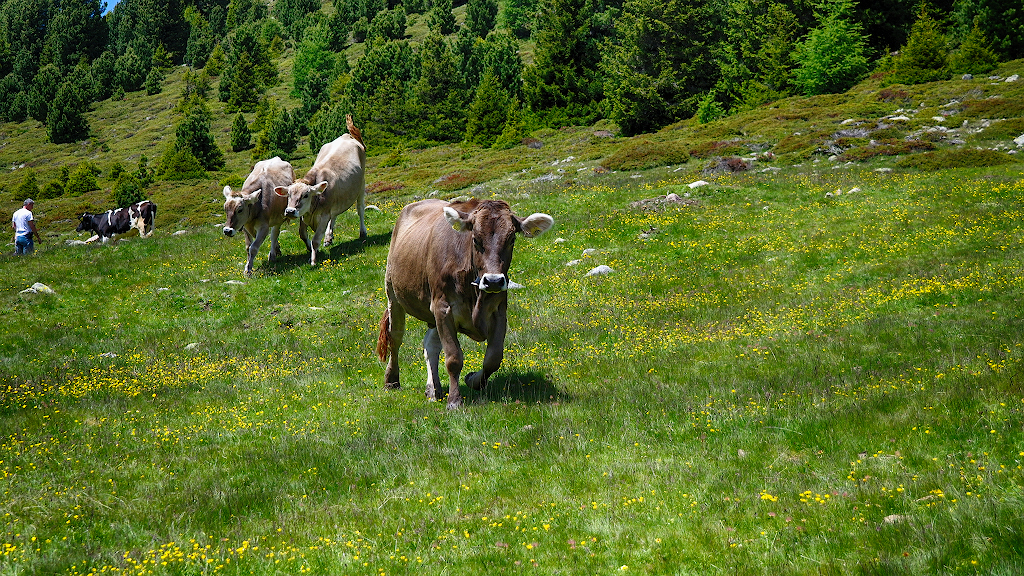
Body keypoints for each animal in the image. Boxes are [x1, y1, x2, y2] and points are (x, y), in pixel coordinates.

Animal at [374, 196, 552, 407]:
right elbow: (453, 358)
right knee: (395, 338)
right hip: (393, 293)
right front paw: (455, 400)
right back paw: (392, 380)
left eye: (512, 239)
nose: (493, 281)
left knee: (430, 344)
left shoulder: (499, 310)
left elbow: (493, 358)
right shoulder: (443, 308)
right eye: (475, 239)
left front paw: (473, 379)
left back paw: (433, 389)